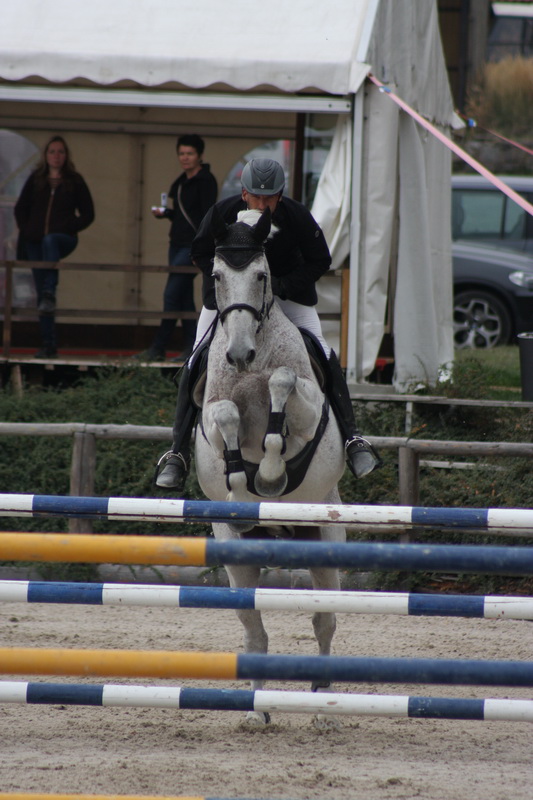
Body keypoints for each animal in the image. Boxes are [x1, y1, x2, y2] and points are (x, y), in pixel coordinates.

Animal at [193, 207, 346, 727]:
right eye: (216, 276)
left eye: (262, 274)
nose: (240, 355)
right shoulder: (213, 412)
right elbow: (225, 417)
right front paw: (243, 482)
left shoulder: (306, 405)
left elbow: (282, 388)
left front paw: (273, 473)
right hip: (236, 553)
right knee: (254, 630)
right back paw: (255, 712)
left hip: (327, 536)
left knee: (324, 621)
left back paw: (323, 707)